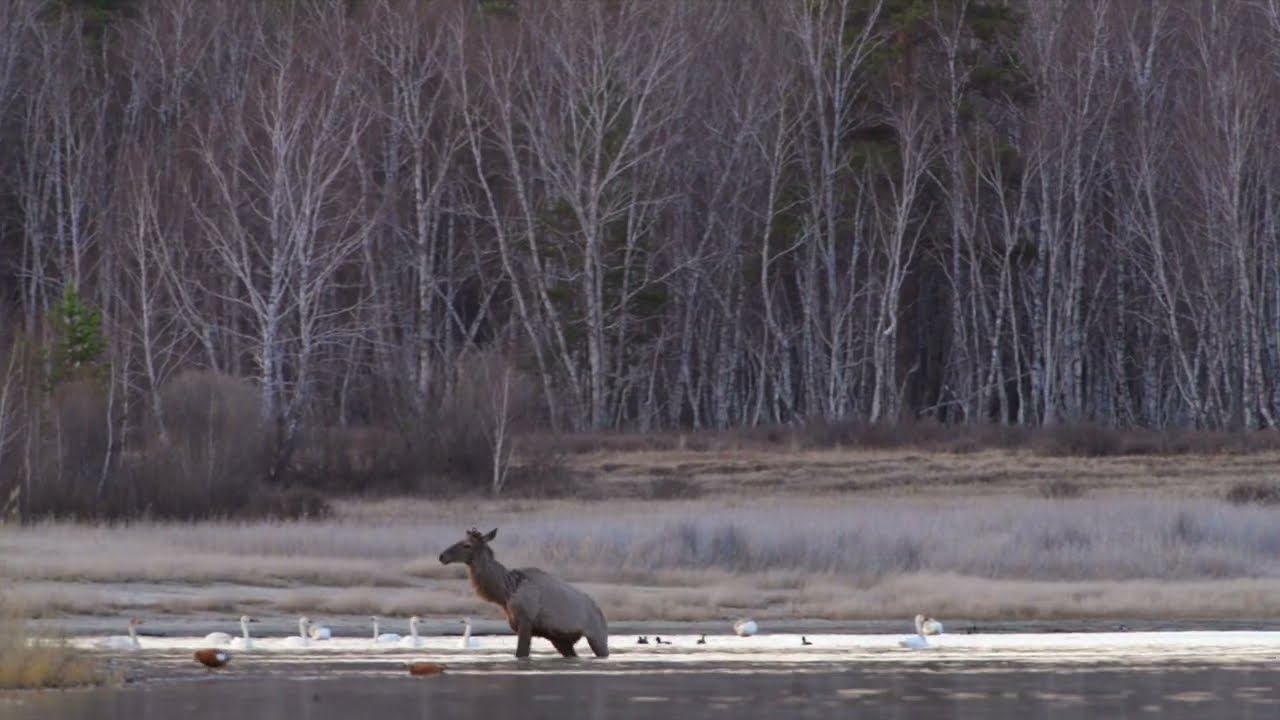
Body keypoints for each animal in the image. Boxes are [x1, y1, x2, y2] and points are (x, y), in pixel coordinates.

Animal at [440, 525, 609, 653]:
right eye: (460, 540)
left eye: (467, 545)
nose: (442, 556)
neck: (505, 592)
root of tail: (600, 612)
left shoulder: (526, 622)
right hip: (561, 640)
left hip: (598, 636)